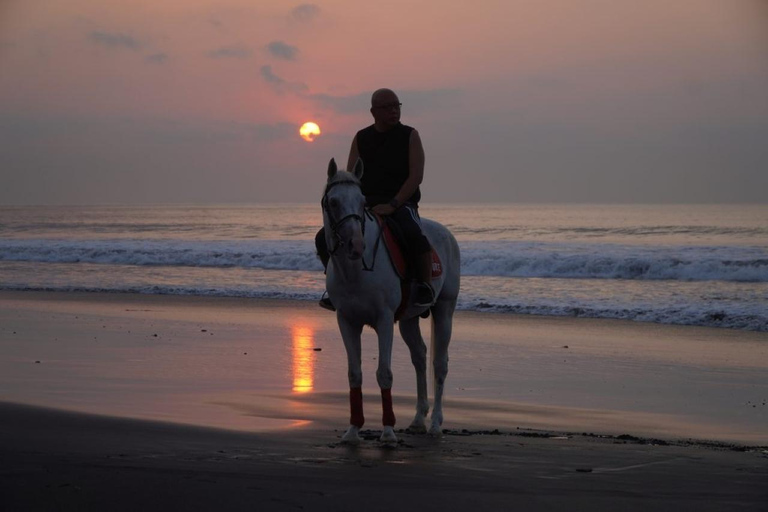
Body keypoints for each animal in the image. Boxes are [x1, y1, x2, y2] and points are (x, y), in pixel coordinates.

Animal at [320, 158, 460, 446]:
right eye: (334, 202)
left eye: (363, 201)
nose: (356, 245)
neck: (356, 270)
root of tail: (447, 234)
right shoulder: (346, 321)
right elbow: (354, 373)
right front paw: (353, 430)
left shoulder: (384, 320)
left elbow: (384, 373)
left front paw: (387, 432)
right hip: (408, 319)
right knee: (419, 357)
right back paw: (418, 420)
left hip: (445, 310)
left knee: (439, 364)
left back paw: (435, 424)